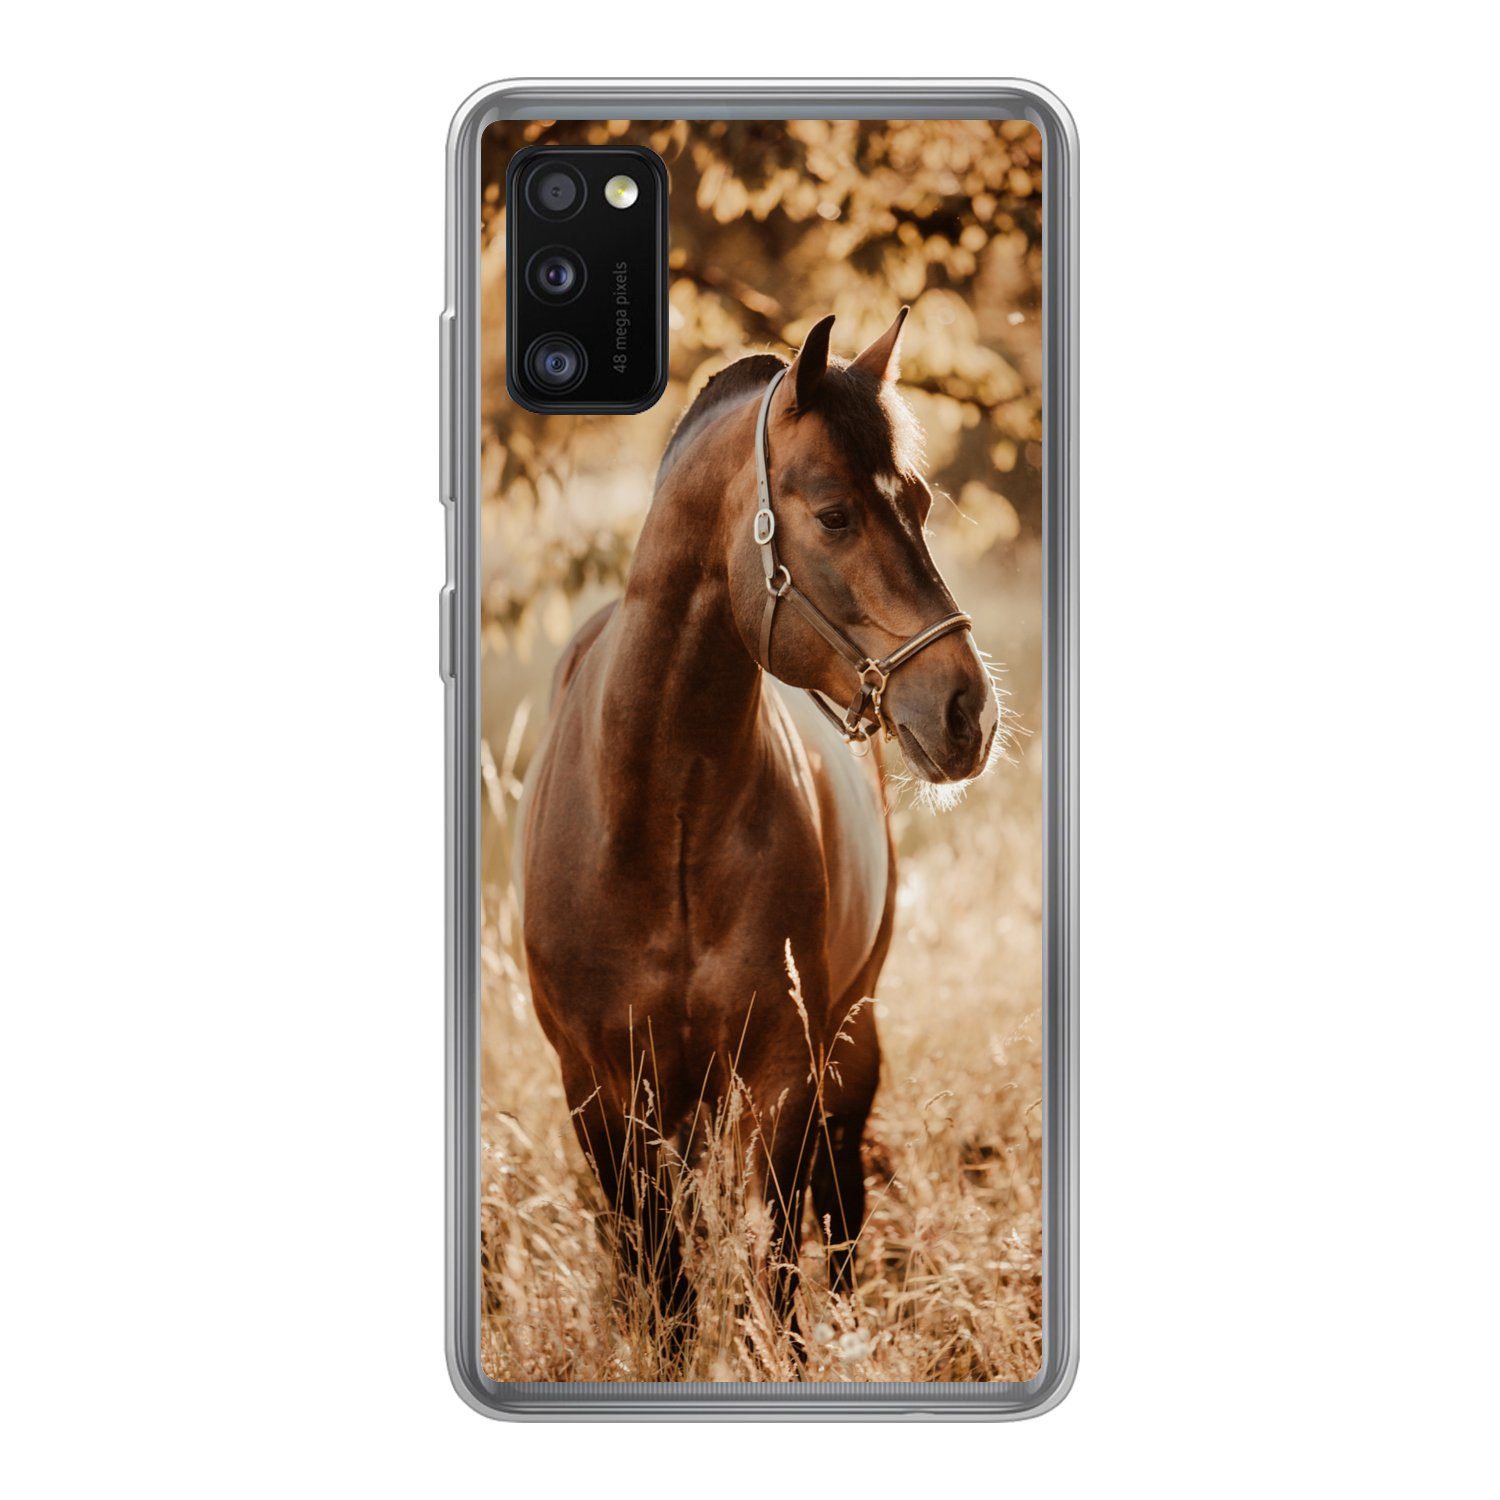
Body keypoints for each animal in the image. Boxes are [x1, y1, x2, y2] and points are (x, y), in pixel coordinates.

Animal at [516, 308, 999, 1353]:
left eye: (920, 502)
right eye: (835, 515)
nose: (968, 713)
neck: (661, 819)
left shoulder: (782, 1074)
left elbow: (778, 1270)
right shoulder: (599, 1092)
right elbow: (664, 1290)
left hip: (849, 1049)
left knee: (842, 1212)